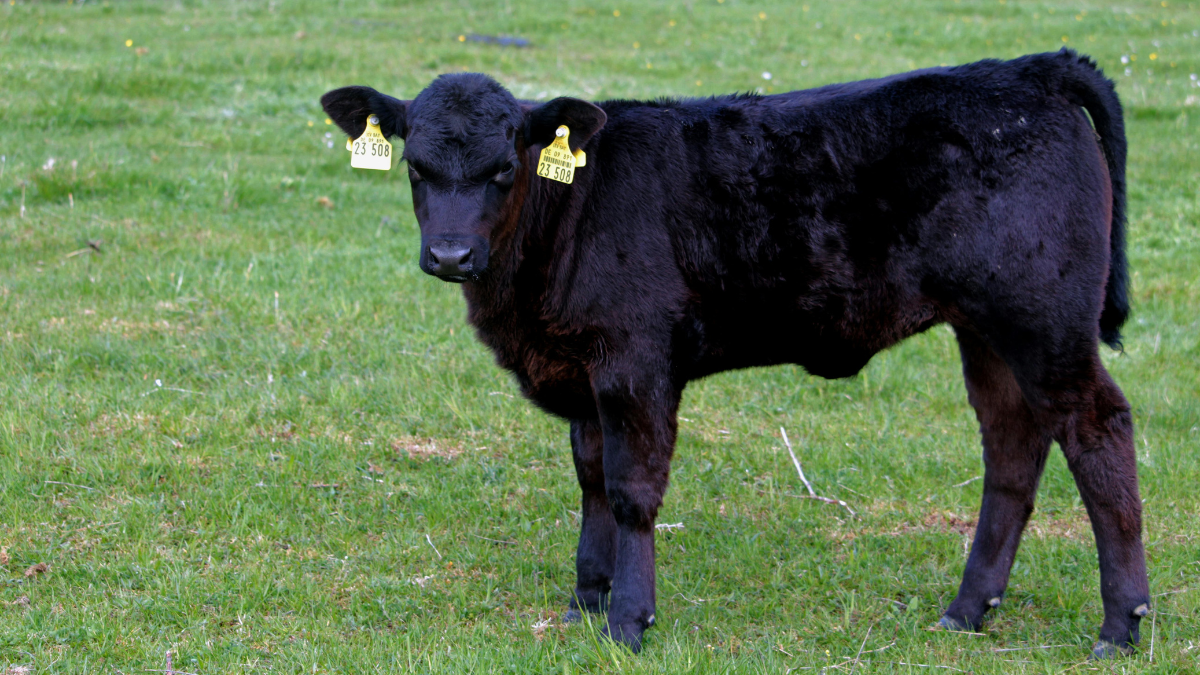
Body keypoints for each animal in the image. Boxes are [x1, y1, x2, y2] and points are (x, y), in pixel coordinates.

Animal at [321, 49, 1148, 657]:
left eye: (502, 167)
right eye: (416, 167)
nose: (450, 255)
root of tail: (1029, 68)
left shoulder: (636, 361)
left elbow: (631, 489)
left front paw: (630, 619)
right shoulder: (581, 369)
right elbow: (590, 481)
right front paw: (585, 601)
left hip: (1043, 321)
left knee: (1098, 430)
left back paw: (1122, 622)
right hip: (987, 330)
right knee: (1012, 445)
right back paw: (969, 608)